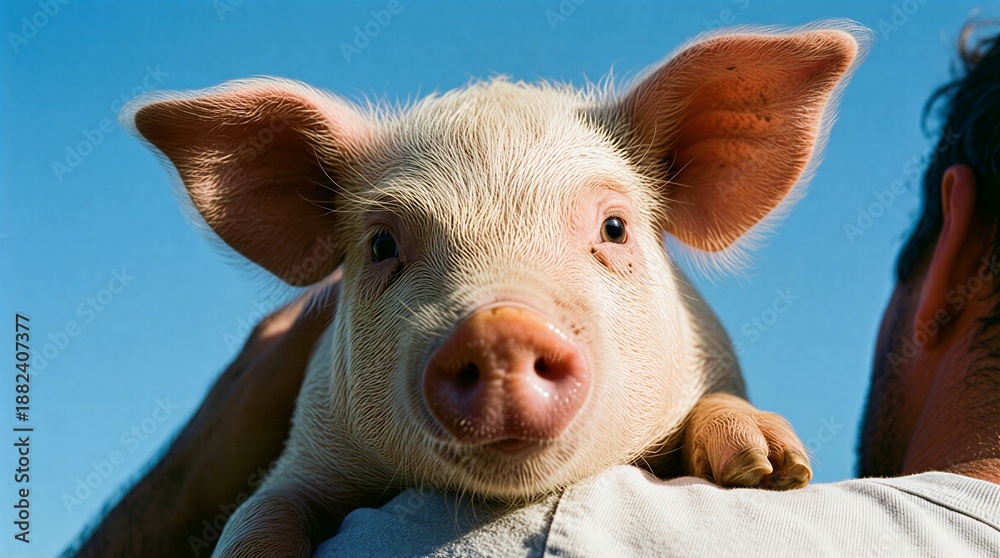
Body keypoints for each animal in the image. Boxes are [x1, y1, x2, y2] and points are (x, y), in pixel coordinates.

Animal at [126, 23, 864, 557]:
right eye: (382, 245)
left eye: (615, 227)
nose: (500, 328)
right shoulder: (310, 443)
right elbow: (259, 514)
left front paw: (768, 467)